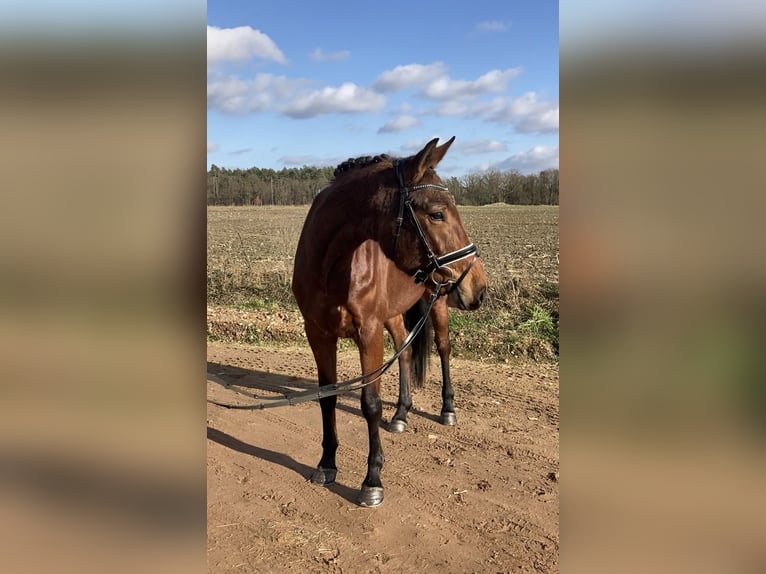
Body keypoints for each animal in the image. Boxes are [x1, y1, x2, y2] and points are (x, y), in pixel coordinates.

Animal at [292, 137, 488, 506]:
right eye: (437, 214)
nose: (479, 287)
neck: (332, 266)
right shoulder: (318, 334)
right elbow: (327, 396)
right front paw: (327, 464)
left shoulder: (367, 334)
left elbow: (370, 404)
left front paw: (372, 481)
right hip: (395, 314)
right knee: (406, 351)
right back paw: (401, 414)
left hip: (438, 303)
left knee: (443, 348)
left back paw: (447, 409)